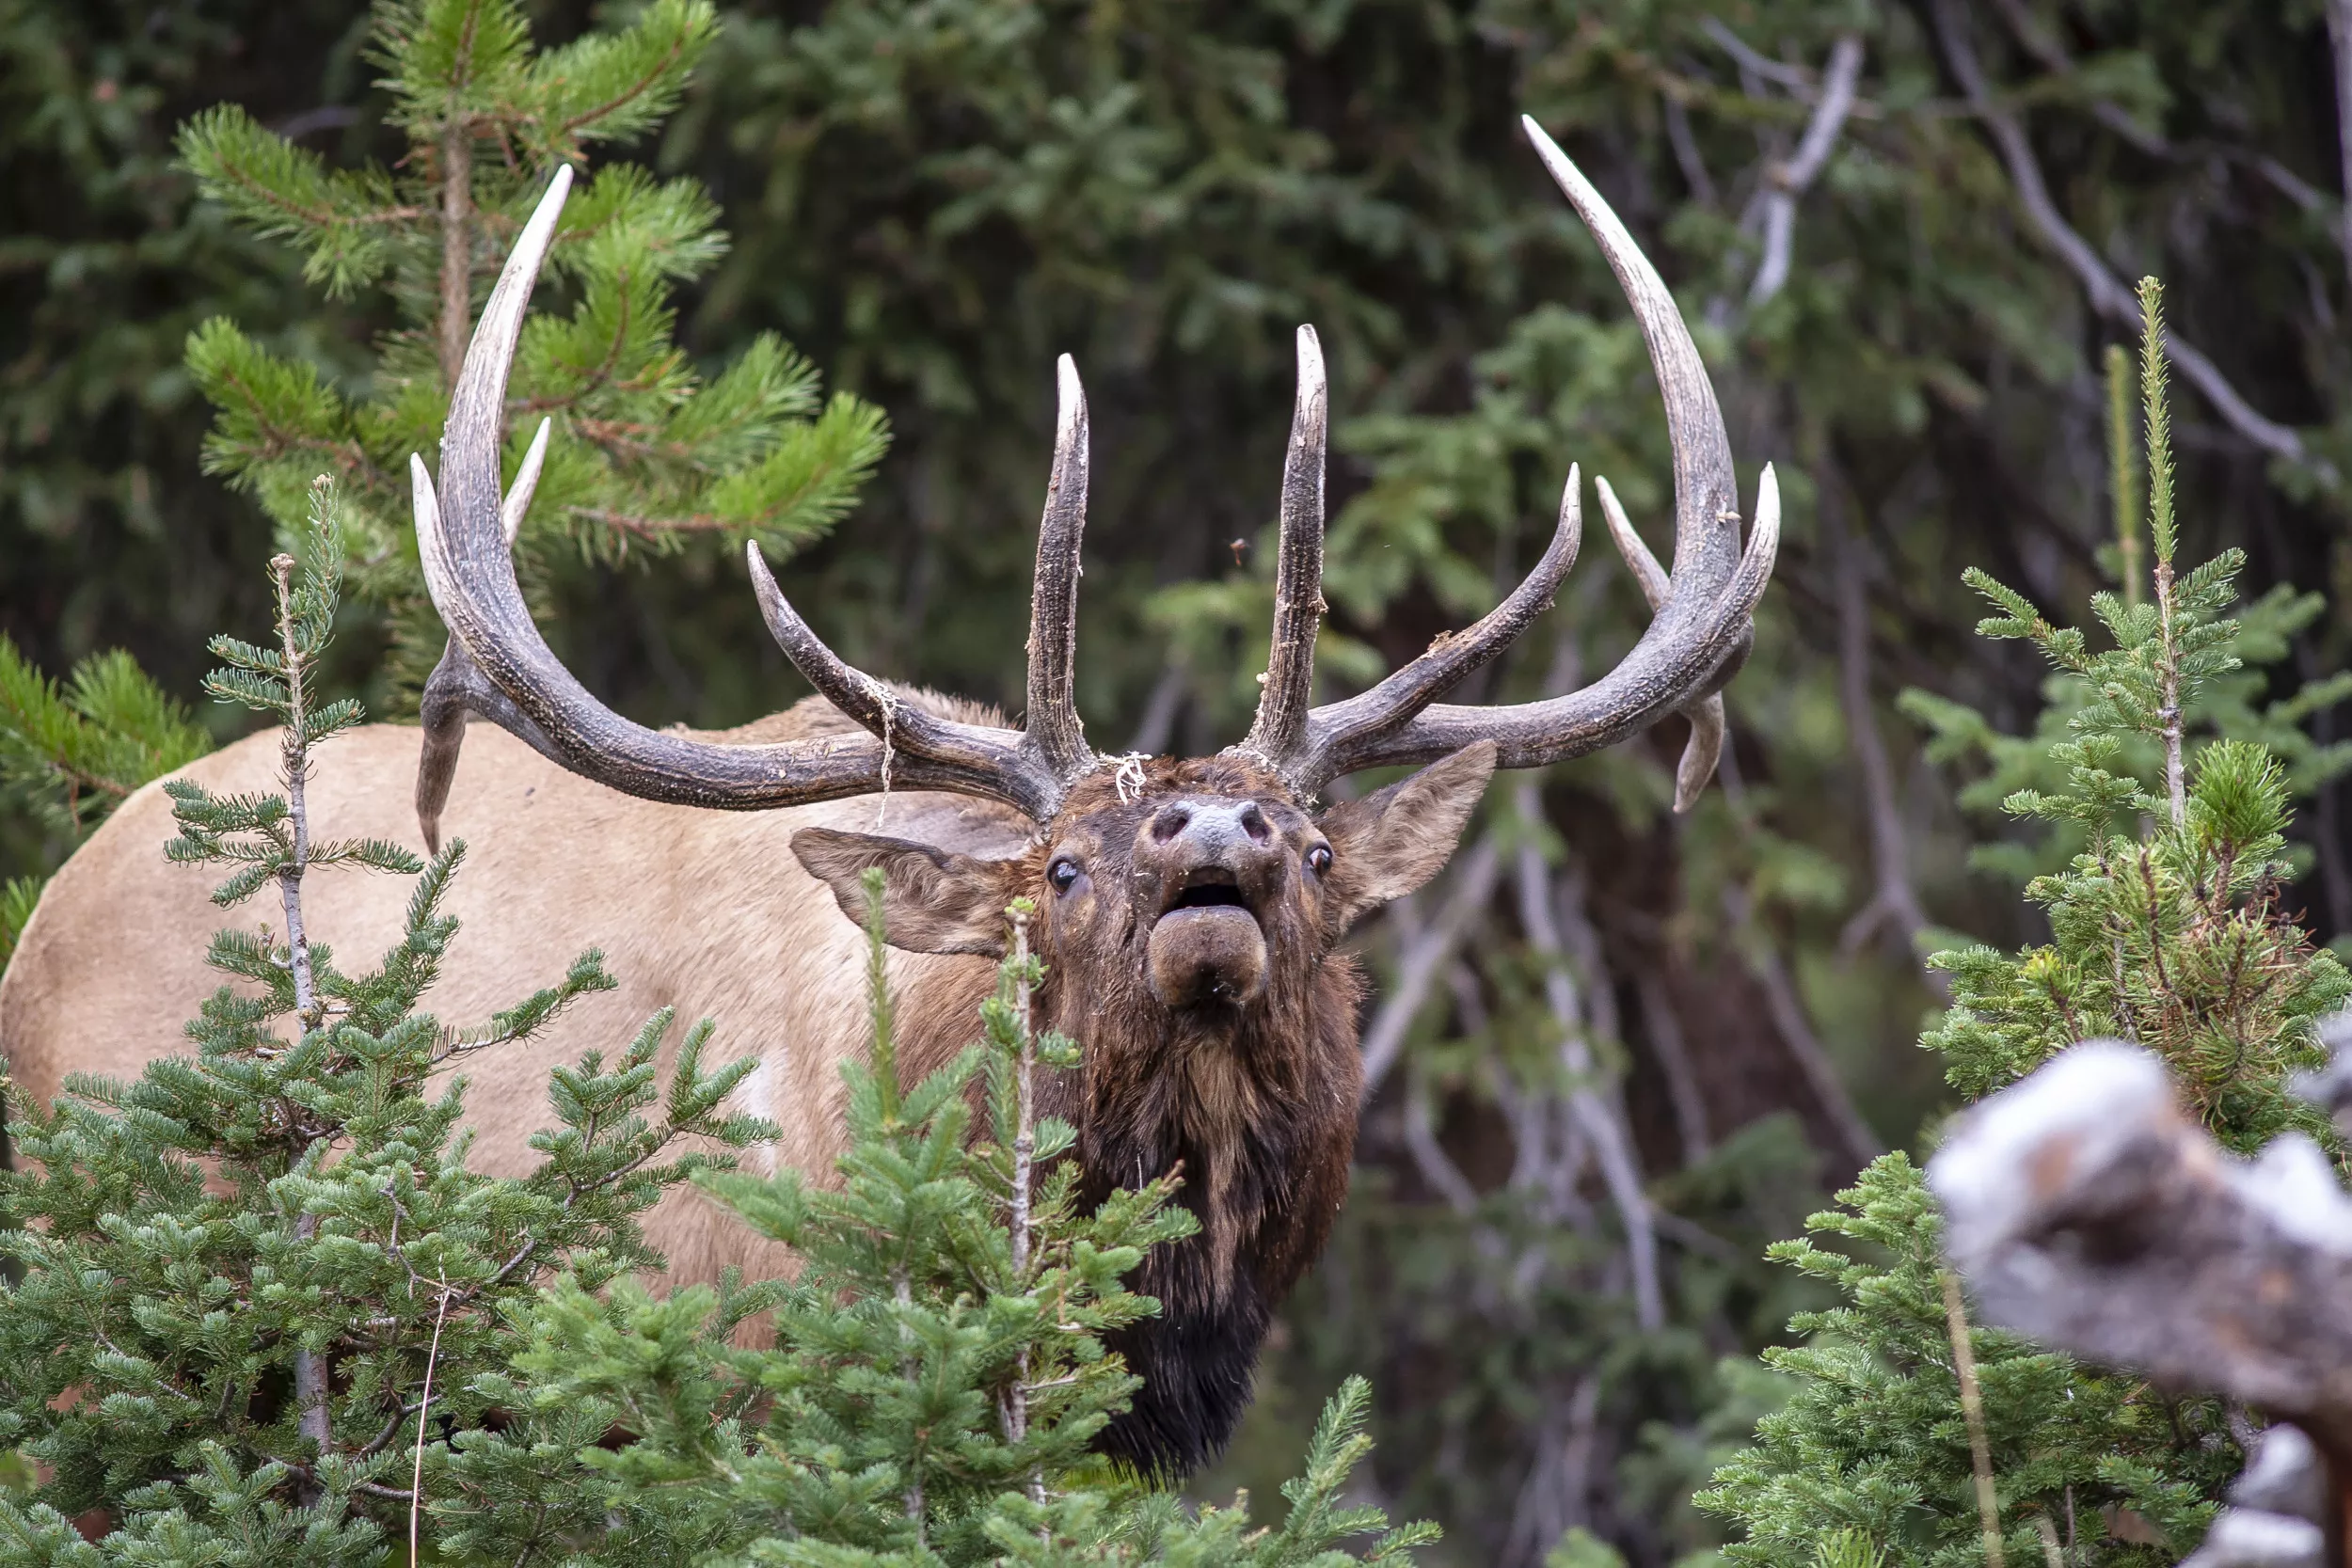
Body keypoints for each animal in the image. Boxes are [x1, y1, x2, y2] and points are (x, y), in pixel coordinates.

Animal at [0, 117, 1776, 1475]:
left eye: (1328, 852)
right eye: (1059, 868)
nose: (1218, 833)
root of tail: (46, 910)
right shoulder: (735, 1389)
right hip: (105, 1299)